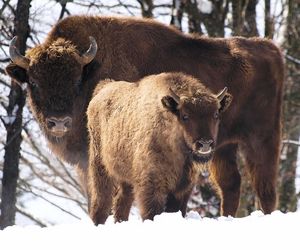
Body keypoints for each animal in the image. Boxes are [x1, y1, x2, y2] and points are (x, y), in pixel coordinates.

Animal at [86, 72, 232, 225]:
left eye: (216, 114)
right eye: (185, 116)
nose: (205, 144)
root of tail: (102, 89)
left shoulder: (182, 189)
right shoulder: (152, 186)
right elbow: (151, 213)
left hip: (125, 178)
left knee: (122, 202)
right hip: (100, 167)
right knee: (101, 202)